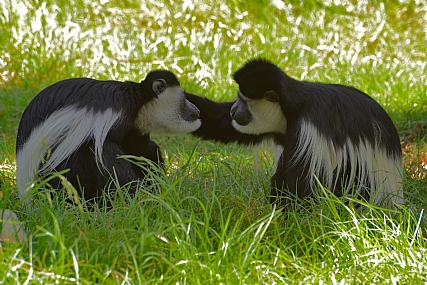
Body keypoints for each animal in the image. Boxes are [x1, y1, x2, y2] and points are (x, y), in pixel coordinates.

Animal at [17, 70, 201, 203]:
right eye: (184, 97)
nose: (197, 110)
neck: (137, 100)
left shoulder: (132, 128)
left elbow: (143, 149)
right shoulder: (117, 118)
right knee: (99, 153)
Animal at [187, 58, 404, 209]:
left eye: (244, 102)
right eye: (238, 98)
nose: (233, 111)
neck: (291, 108)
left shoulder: (308, 129)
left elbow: (303, 181)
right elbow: (222, 125)